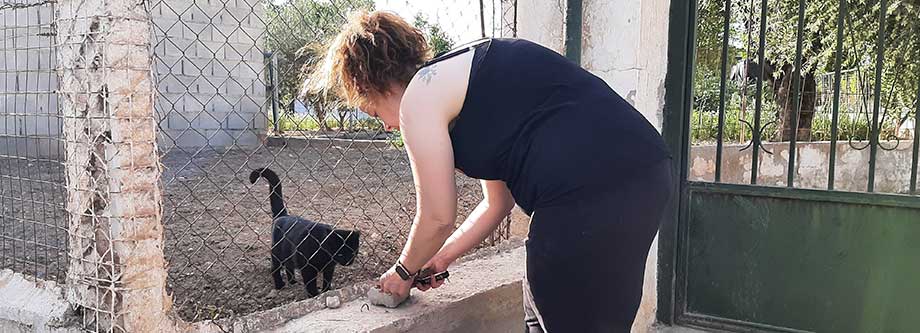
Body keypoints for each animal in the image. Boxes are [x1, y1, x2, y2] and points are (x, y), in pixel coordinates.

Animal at [250, 167, 362, 296]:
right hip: (277, 252)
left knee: (289, 266)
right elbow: (310, 284)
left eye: (353, 252)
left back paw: (292, 281)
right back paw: (279, 285)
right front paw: (314, 295)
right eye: (340, 254)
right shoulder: (307, 268)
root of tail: (283, 215)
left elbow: (327, 279)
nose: (348, 261)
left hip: (288, 253)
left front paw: (326, 291)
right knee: (275, 268)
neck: (323, 248)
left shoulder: (329, 268)